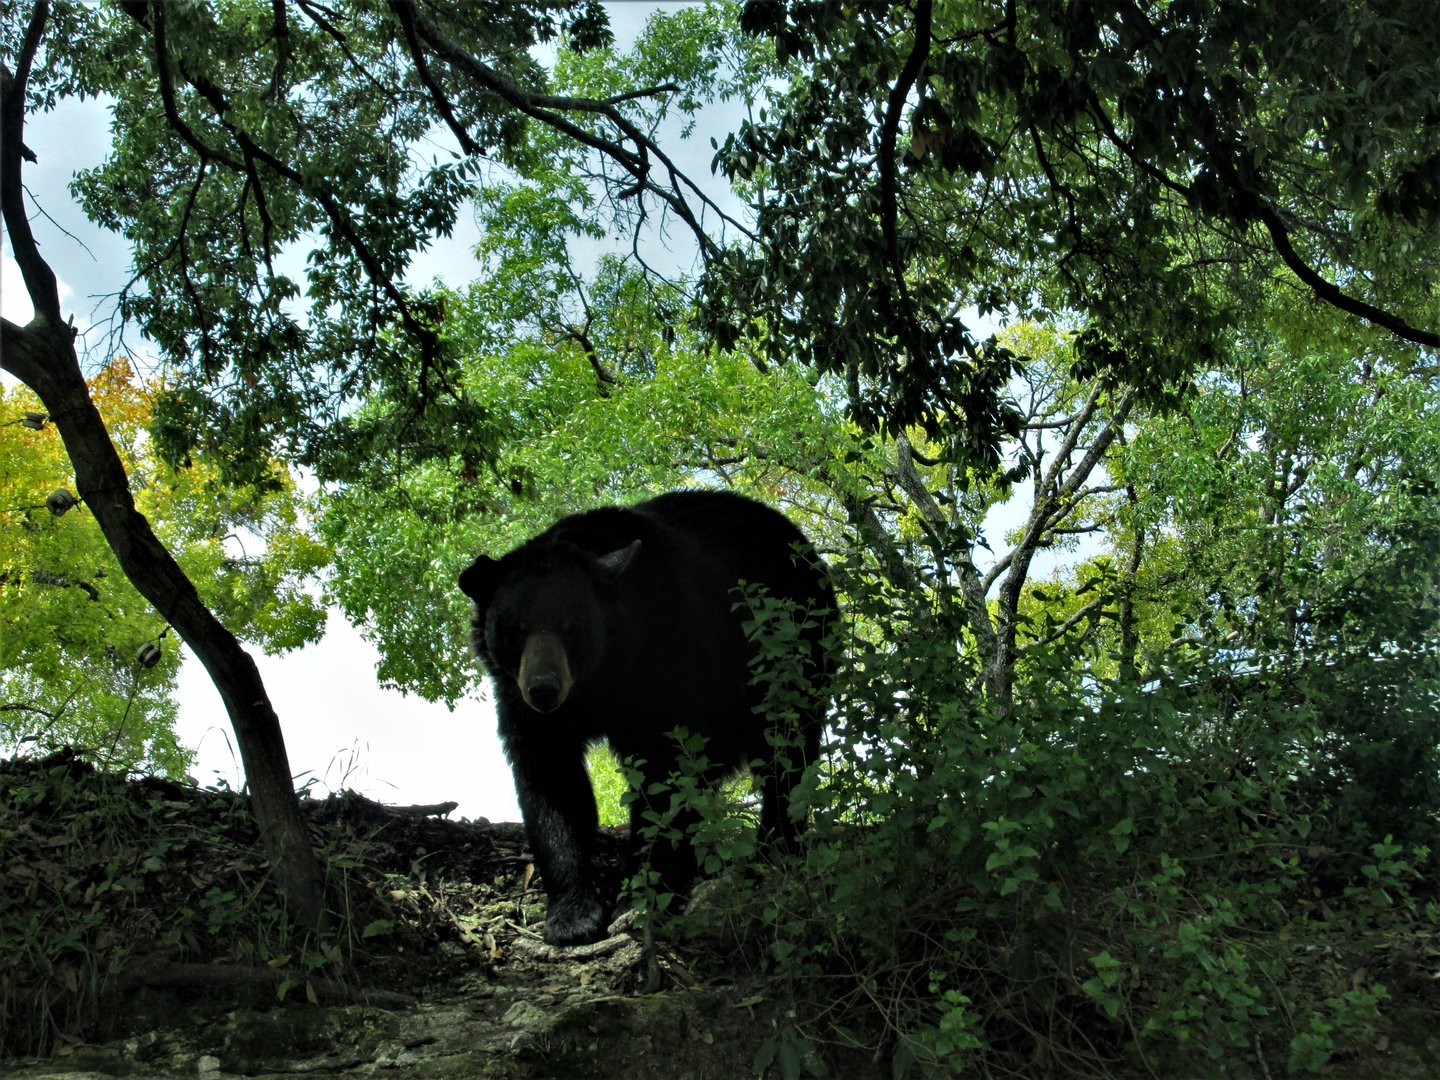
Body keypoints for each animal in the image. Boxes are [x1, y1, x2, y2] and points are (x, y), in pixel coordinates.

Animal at [458, 489, 835, 946]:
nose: (543, 688)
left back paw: (774, 849)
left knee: (787, 752)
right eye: (514, 628)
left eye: (571, 627)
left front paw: (642, 898)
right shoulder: (524, 705)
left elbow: (667, 772)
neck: (603, 678)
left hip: (793, 653)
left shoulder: (668, 659)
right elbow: (552, 781)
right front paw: (572, 915)